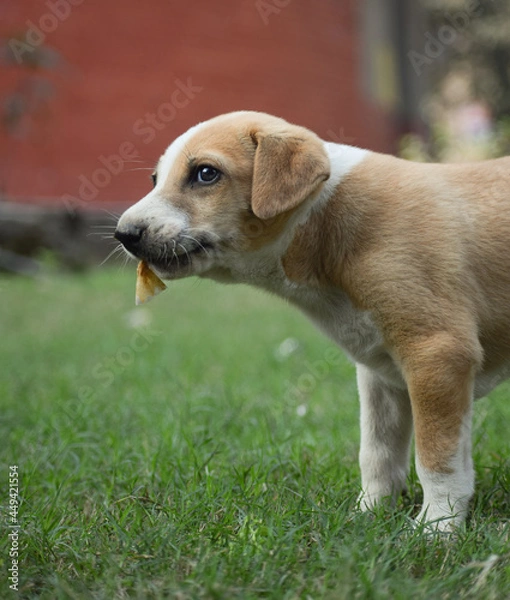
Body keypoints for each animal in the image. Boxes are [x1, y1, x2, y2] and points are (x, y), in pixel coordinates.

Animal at [115, 110, 510, 528]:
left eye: (206, 173)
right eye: (155, 179)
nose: (124, 234)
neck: (327, 218)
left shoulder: (436, 355)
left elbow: (438, 459)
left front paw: (437, 526)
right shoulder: (381, 375)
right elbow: (378, 453)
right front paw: (368, 515)